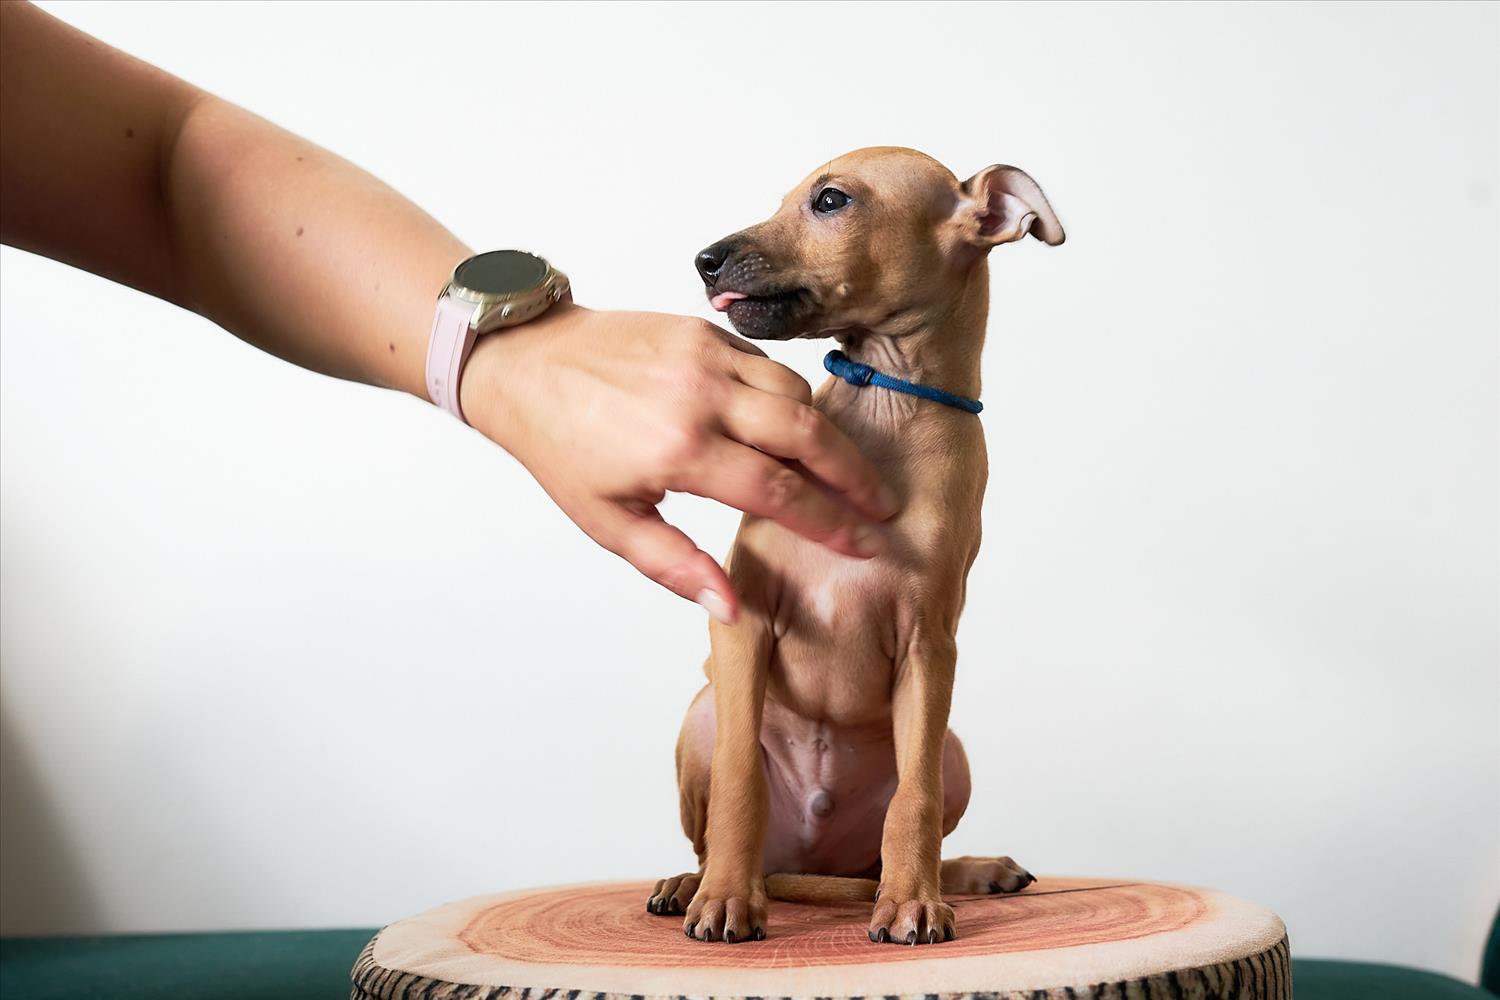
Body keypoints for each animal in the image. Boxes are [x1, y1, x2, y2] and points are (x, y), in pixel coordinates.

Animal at [647, 147, 1064, 945]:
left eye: (831, 200)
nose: (703, 260)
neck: (887, 400)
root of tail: (810, 859)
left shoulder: (930, 645)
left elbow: (915, 799)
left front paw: (912, 903)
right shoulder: (744, 618)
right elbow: (740, 782)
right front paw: (726, 900)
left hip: (952, 747)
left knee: (887, 843)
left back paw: (964, 874)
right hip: (702, 712)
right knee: (712, 831)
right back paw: (694, 884)